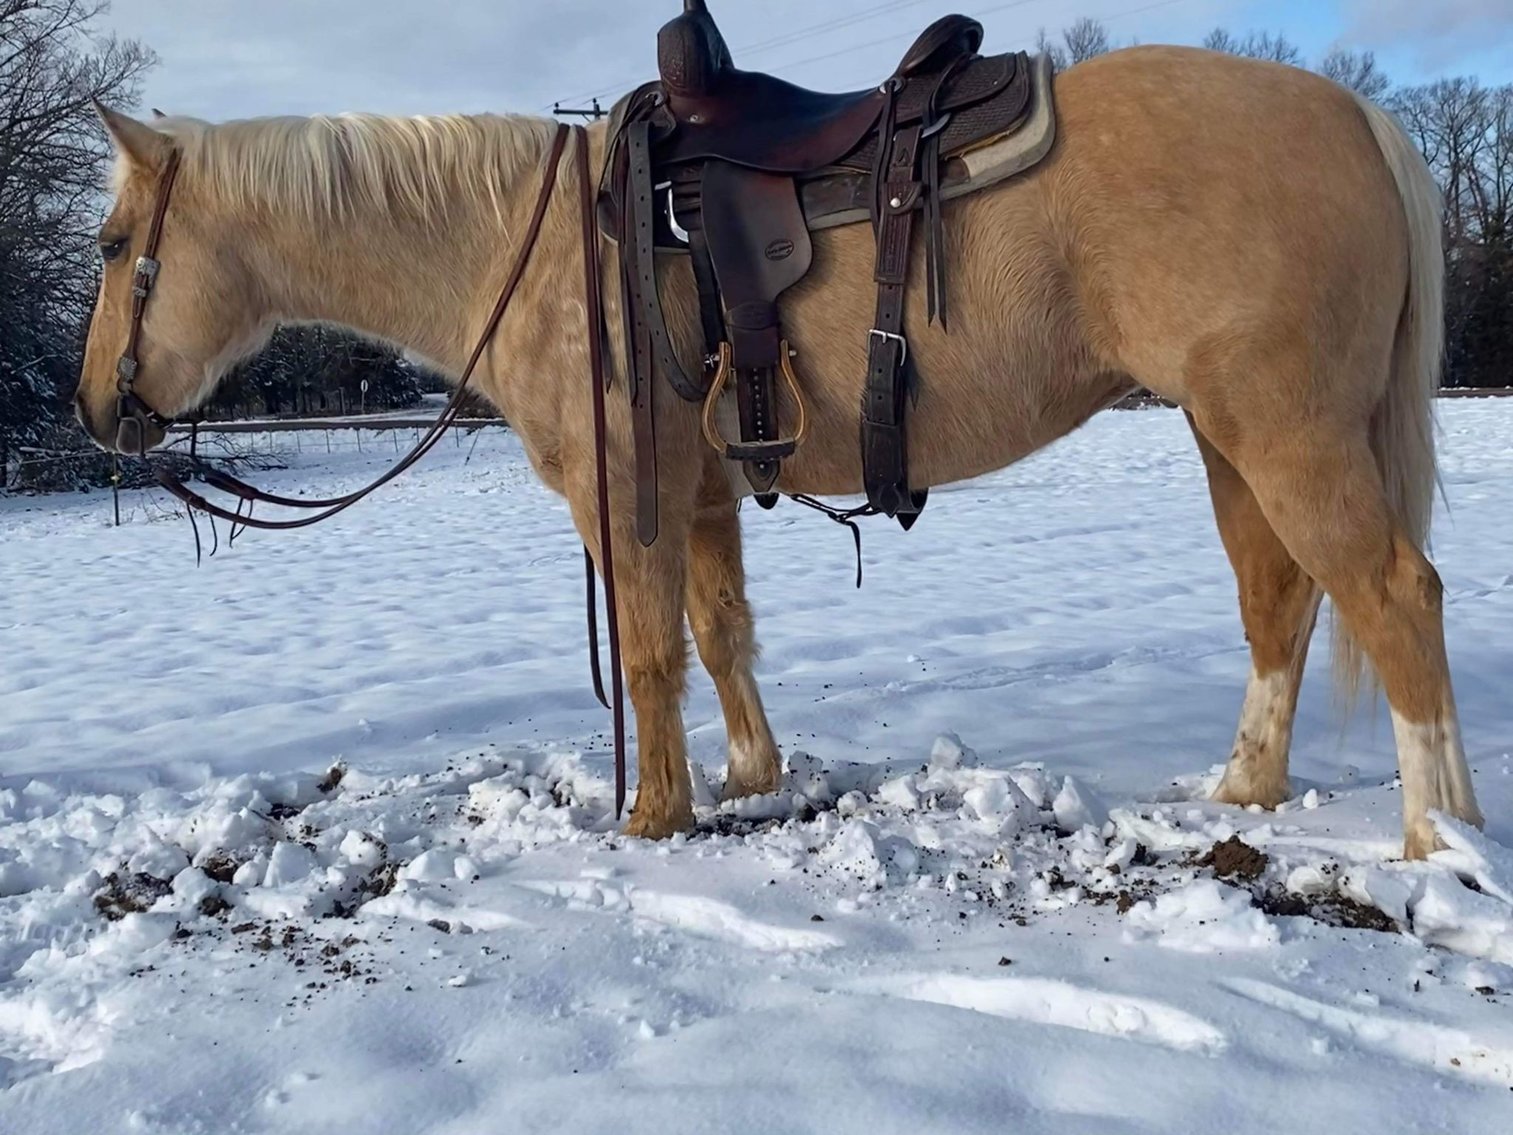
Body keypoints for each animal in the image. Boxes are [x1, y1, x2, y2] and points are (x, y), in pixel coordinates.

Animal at [75, 44, 1484, 858]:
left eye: (109, 244)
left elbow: (649, 653)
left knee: (1392, 593)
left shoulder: (625, 495)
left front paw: (653, 815)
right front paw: (750, 782)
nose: (95, 408)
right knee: (1280, 597)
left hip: (1283, 431)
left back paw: (1440, 836)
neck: (542, 249)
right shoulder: (702, 495)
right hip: (1227, 435)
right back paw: (1243, 790)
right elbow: (719, 636)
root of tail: (1356, 115)